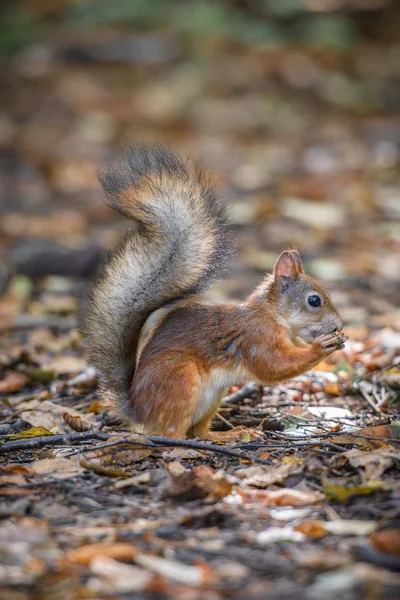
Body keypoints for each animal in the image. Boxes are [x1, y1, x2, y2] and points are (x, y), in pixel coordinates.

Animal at [84, 145, 346, 440]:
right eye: (314, 300)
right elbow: (273, 366)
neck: (272, 315)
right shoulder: (256, 338)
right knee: (171, 433)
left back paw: (226, 436)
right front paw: (322, 347)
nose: (338, 325)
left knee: (198, 431)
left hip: (213, 397)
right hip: (179, 379)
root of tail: (138, 411)